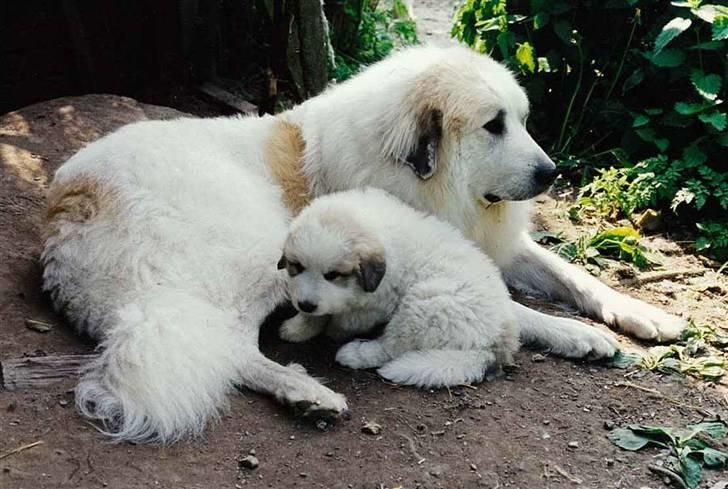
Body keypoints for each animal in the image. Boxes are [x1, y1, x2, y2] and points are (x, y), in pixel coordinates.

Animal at [278, 187, 528, 386]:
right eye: (297, 266)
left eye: (333, 275)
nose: (306, 304)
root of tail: (503, 338)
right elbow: (318, 313)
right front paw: (299, 328)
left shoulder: (376, 302)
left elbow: (349, 319)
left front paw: (334, 330)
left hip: (425, 304)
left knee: (392, 347)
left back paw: (356, 354)